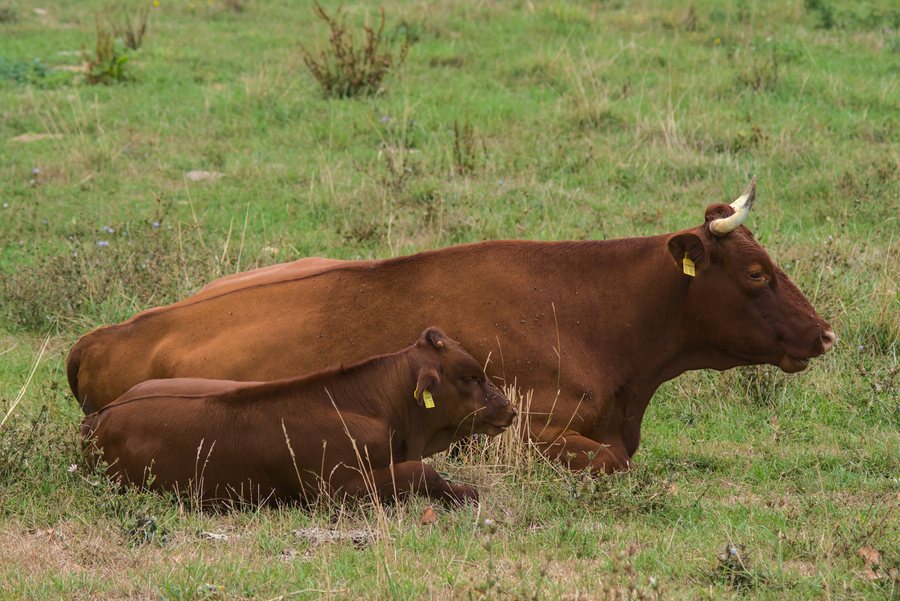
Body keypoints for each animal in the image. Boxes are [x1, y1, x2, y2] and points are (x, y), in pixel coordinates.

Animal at [81, 327, 517, 506]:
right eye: (469, 377)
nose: (510, 409)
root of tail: (100, 416)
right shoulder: (337, 489)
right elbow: (422, 472)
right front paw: (463, 493)